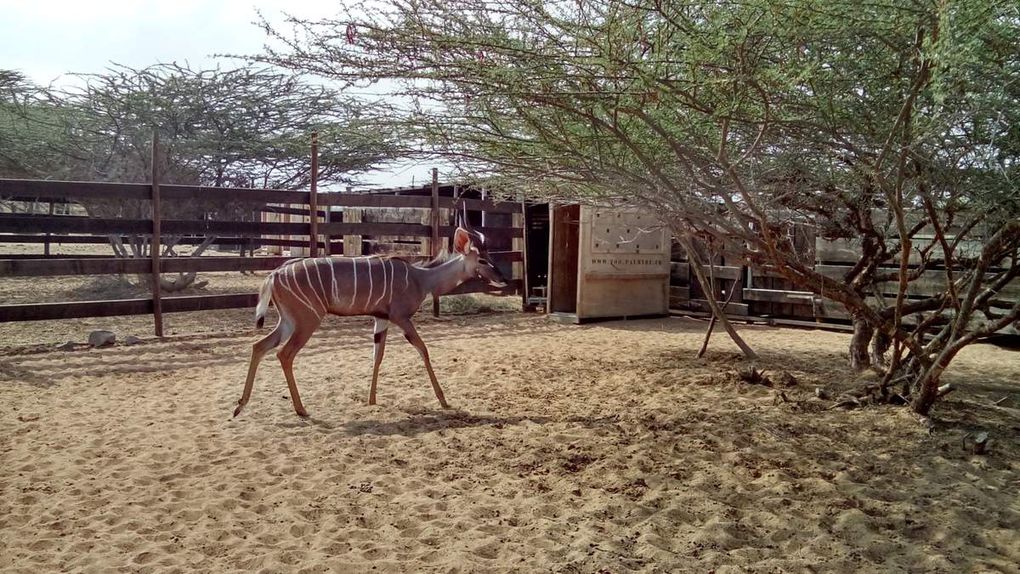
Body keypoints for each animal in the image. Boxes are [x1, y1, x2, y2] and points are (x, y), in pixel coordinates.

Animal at [230, 224, 501, 418]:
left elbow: (377, 356)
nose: (503, 279)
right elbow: (423, 350)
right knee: (284, 354)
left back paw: (240, 405)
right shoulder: (401, 317)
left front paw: (372, 400)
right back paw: (301, 409)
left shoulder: (381, 319)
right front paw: (443, 400)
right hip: (307, 320)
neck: (422, 279)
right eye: (483, 260)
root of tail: (274, 275)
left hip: (288, 321)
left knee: (260, 346)